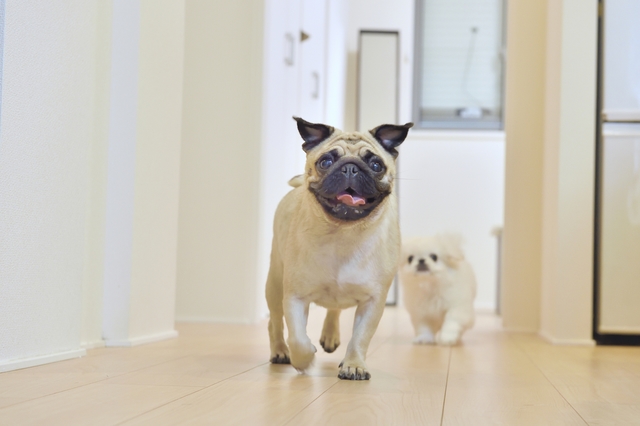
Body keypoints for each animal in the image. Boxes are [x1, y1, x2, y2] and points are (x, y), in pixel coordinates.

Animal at [266, 115, 412, 380]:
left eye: (376, 165)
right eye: (325, 161)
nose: (350, 167)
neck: (343, 234)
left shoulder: (372, 303)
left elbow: (360, 337)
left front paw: (354, 364)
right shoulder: (295, 297)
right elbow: (298, 337)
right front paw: (304, 359)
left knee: (334, 310)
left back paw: (330, 336)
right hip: (274, 284)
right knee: (275, 322)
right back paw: (280, 351)